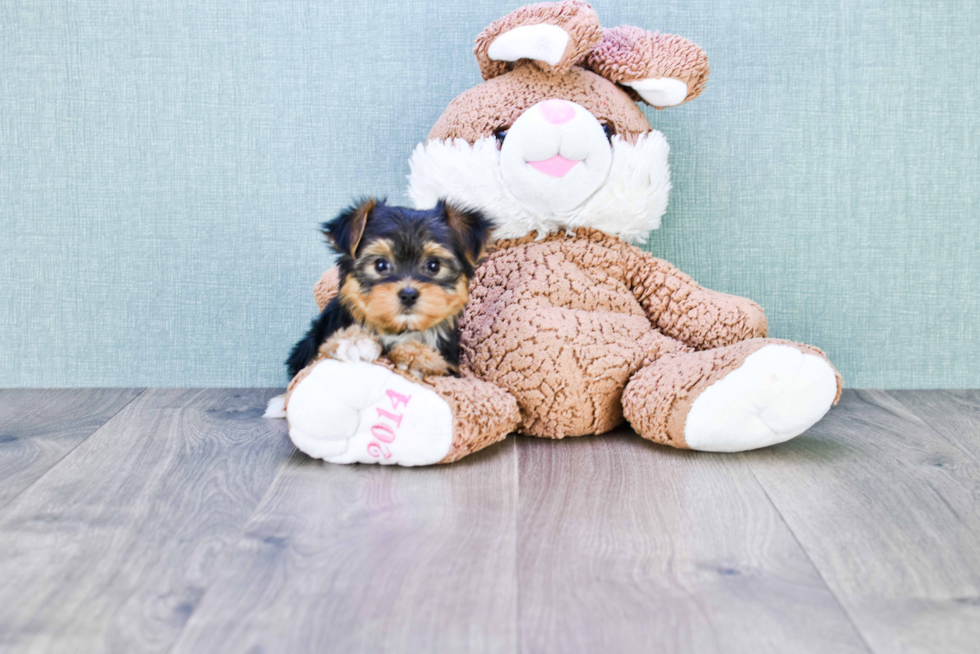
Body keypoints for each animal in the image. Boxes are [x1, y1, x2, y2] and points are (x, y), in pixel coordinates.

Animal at [288, 199, 494, 380]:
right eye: (380, 265)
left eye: (434, 265)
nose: (408, 294)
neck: (399, 330)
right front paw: (354, 341)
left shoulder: (452, 369)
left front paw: (418, 356)